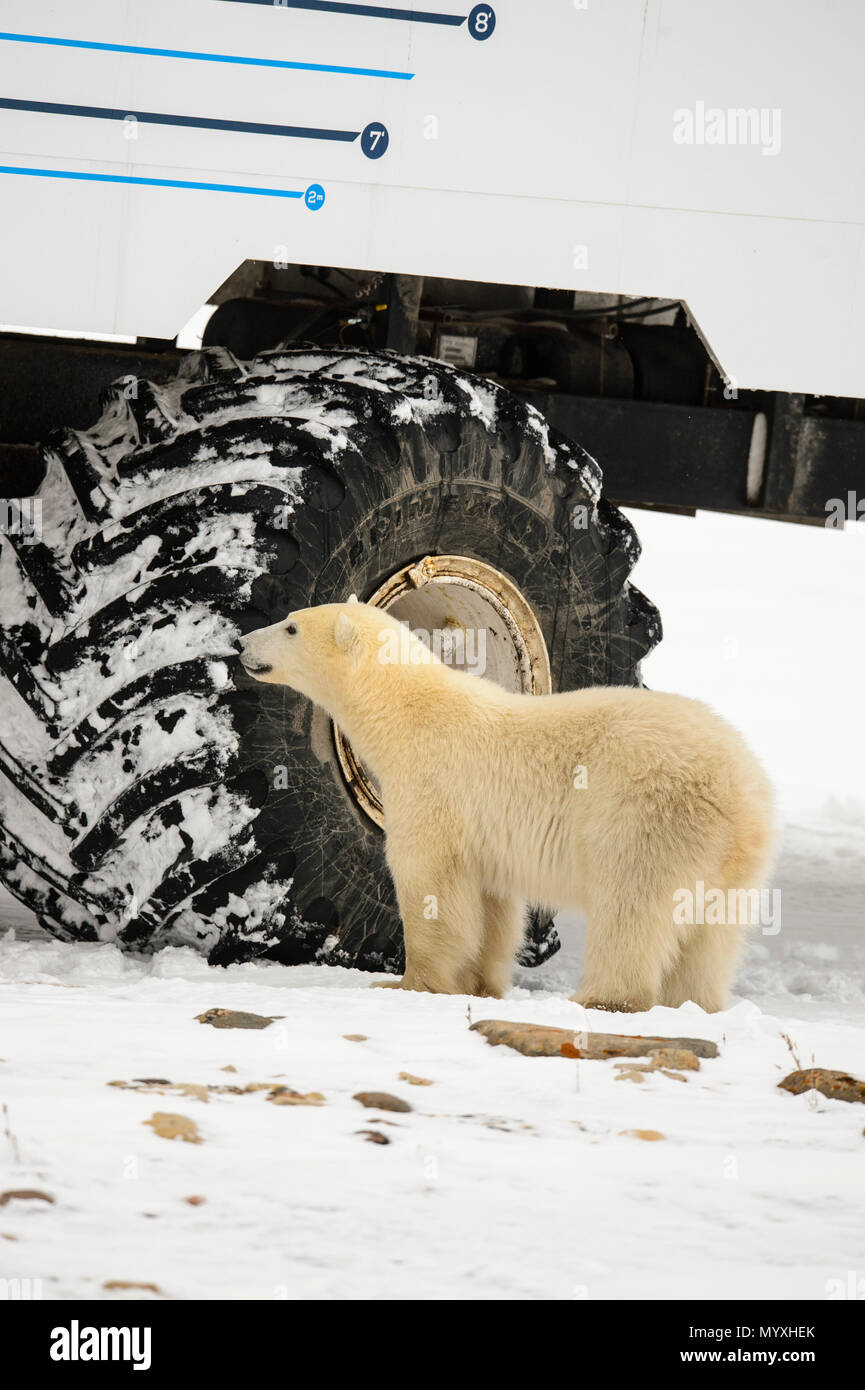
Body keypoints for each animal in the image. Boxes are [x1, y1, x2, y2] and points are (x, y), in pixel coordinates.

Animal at [239, 603, 778, 1017]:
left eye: (290, 626)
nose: (241, 643)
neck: (405, 713)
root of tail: (743, 786)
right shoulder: (486, 837)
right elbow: (492, 908)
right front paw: (479, 984)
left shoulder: (431, 788)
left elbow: (429, 883)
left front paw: (407, 983)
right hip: (732, 860)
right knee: (710, 937)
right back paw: (691, 1004)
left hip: (645, 817)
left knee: (631, 907)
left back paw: (601, 999)